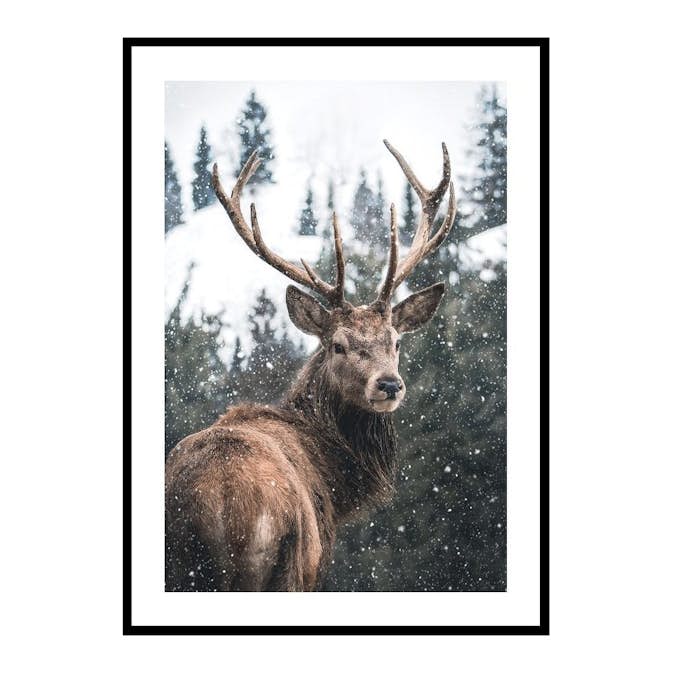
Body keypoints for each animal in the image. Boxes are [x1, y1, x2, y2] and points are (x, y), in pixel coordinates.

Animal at [165, 140, 457, 591]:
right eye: (338, 345)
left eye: (395, 341)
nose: (389, 384)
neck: (334, 482)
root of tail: (219, 504)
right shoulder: (313, 565)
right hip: (282, 564)